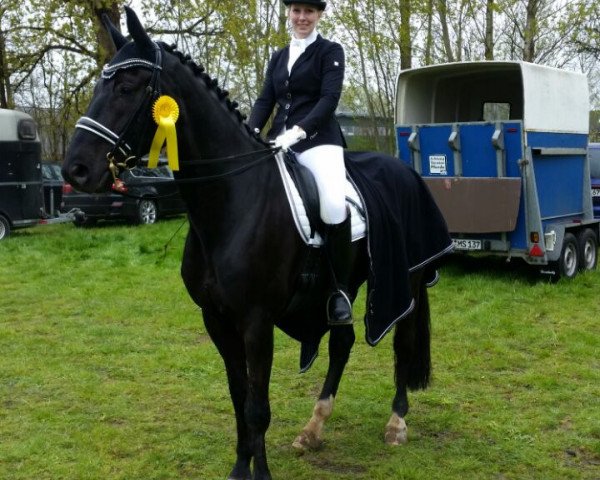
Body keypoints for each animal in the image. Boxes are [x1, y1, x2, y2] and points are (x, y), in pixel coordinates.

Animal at [63, 8, 452, 480]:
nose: (76, 170)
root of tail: (405, 169)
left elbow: (257, 407)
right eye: (98, 86)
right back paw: (312, 429)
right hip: (345, 286)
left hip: (406, 279)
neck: (231, 204)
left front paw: (259, 473)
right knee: (341, 343)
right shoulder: (216, 319)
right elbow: (238, 398)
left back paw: (396, 423)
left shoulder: (256, 321)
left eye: (126, 87)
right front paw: (239, 468)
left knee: (402, 342)